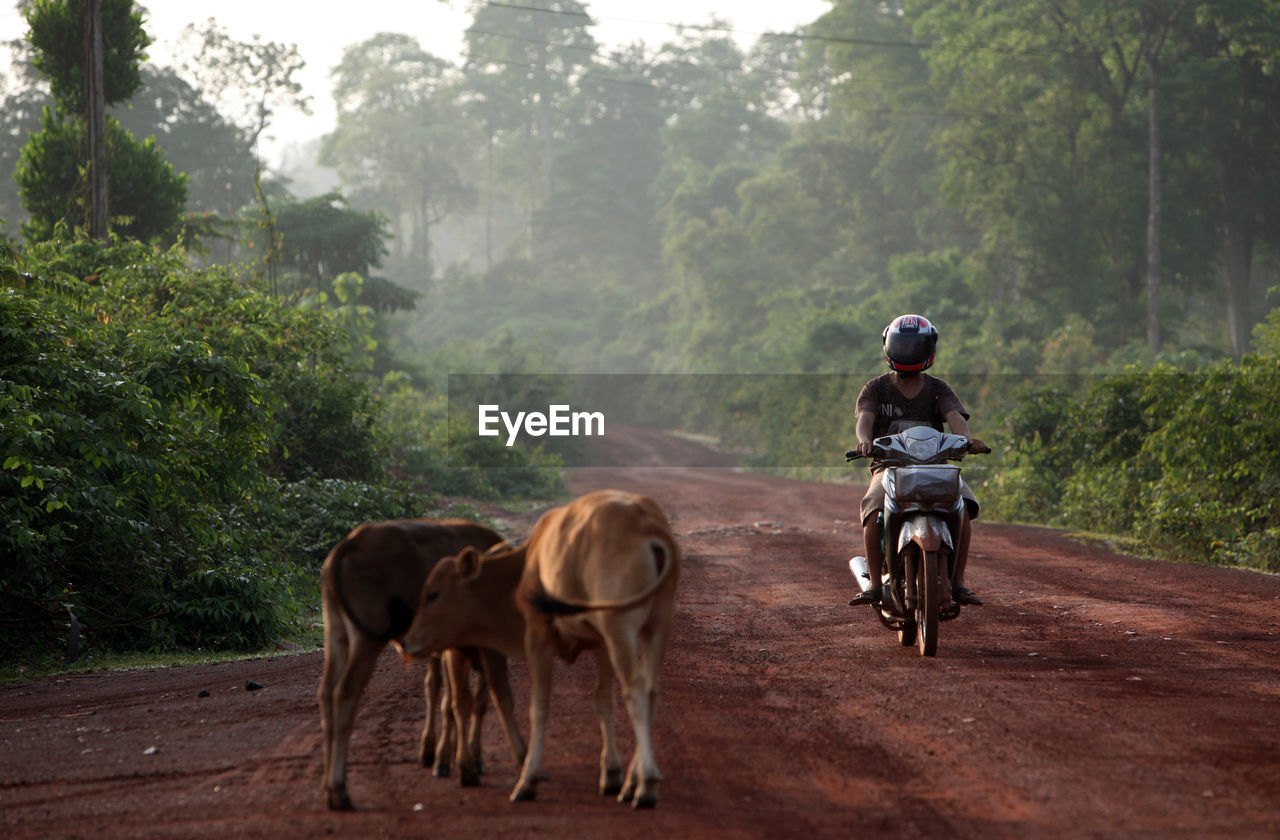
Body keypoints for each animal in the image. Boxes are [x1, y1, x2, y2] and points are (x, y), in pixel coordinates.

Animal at [318, 514, 524, 809]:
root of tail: (353, 542)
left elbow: (463, 700)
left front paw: (457, 757)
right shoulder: (482, 649)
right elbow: (475, 700)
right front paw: (463, 760)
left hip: (336, 635)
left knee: (326, 694)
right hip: (367, 641)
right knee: (345, 694)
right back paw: (339, 789)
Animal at [401, 491, 680, 809]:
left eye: (433, 594)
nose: (407, 641)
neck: (523, 567)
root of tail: (646, 523)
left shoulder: (537, 635)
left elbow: (539, 705)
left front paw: (528, 779)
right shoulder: (599, 643)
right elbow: (602, 701)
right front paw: (611, 774)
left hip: (619, 627)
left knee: (635, 691)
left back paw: (646, 785)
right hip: (657, 625)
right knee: (651, 691)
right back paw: (635, 780)